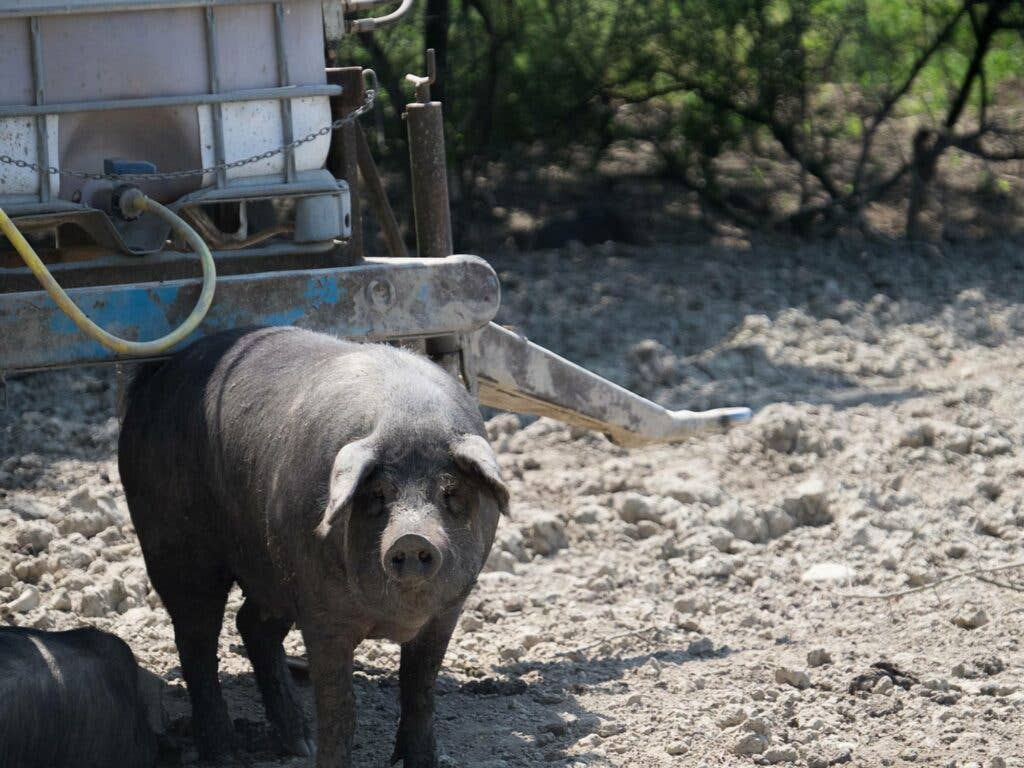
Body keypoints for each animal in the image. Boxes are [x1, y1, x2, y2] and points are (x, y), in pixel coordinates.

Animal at [119, 325, 507, 768]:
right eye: (377, 494)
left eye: (451, 492)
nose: (411, 538)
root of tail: (157, 373)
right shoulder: (322, 612)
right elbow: (339, 706)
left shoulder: (448, 611)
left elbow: (420, 691)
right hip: (173, 545)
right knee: (196, 639)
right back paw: (228, 755)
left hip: (272, 571)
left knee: (251, 625)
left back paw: (296, 743)